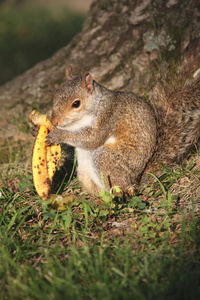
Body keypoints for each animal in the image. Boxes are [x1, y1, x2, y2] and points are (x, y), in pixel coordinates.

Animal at [47, 65, 200, 197]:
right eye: (55, 96)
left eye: (76, 103)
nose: (54, 121)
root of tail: (135, 180)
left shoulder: (108, 117)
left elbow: (93, 138)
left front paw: (58, 134)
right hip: (85, 174)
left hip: (106, 159)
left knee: (122, 189)